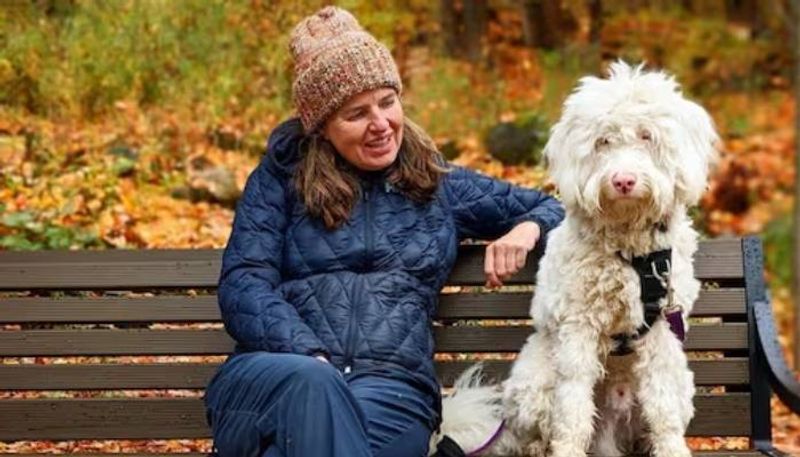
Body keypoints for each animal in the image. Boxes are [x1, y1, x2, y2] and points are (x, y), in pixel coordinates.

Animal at [434, 63, 720, 456]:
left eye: (647, 136)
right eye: (602, 142)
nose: (623, 181)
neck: (629, 252)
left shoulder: (662, 333)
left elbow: (663, 410)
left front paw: (672, 449)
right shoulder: (578, 329)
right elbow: (572, 408)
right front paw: (567, 448)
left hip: (681, 383)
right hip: (534, 383)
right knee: (542, 430)